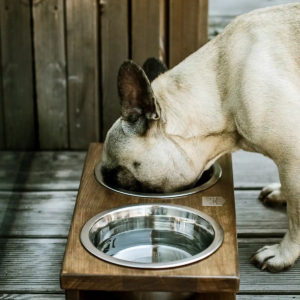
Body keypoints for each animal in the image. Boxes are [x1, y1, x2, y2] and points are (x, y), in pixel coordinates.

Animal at [101, 2, 300, 274]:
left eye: (116, 173)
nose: (106, 177)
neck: (224, 95)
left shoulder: (293, 157)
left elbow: (296, 214)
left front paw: (283, 253)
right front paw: (280, 193)